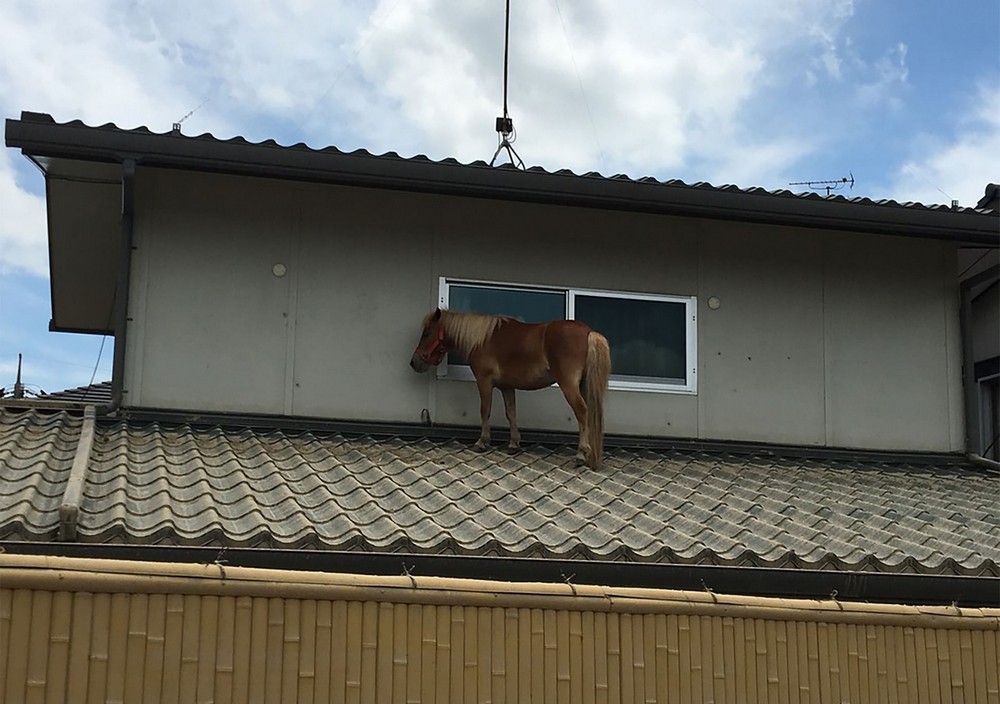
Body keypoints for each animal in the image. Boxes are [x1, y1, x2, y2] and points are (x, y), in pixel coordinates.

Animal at [410, 306, 612, 468]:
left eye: (427, 333)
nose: (414, 362)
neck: (483, 339)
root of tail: (589, 332)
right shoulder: (506, 387)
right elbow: (511, 413)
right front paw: (514, 444)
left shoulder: (484, 382)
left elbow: (485, 410)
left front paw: (482, 442)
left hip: (568, 385)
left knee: (582, 412)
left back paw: (581, 454)